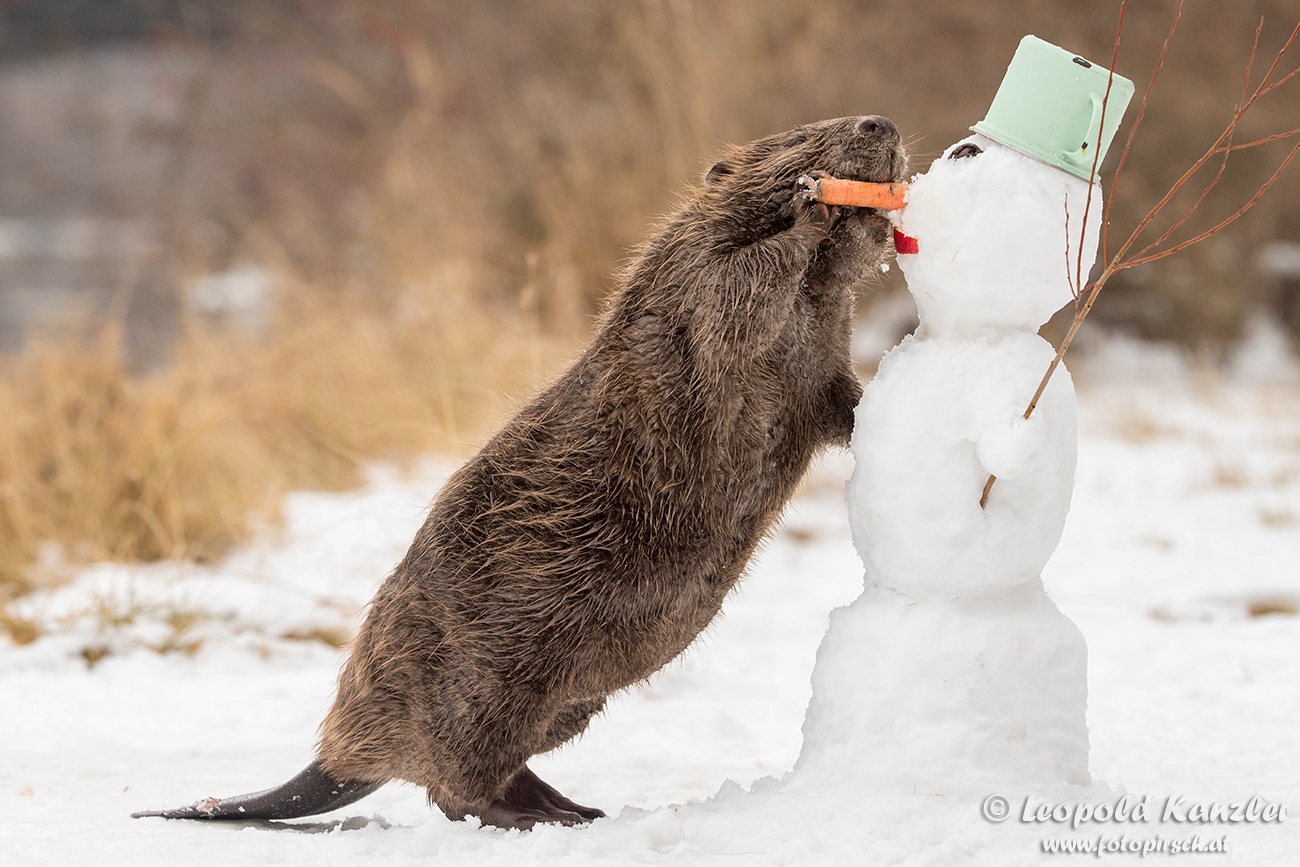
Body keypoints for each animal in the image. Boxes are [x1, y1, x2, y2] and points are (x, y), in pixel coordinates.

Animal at [131, 113, 904, 826]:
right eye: (800, 134)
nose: (881, 122)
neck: (813, 298)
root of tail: (336, 761)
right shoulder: (693, 280)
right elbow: (742, 285)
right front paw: (812, 210)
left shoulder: (815, 360)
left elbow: (837, 397)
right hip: (489, 688)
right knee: (454, 789)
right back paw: (538, 816)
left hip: (564, 704)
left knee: (498, 768)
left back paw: (570, 805)